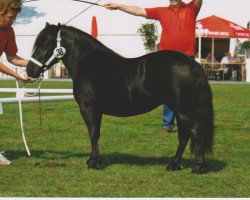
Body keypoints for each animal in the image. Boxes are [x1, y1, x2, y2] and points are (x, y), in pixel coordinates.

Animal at [27, 23, 215, 173]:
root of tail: (193, 64)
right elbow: (96, 134)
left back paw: (195, 166)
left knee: (193, 132)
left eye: (46, 43)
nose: (30, 70)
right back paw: (177, 164)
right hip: (179, 108)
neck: (89, 63)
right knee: (186, 135)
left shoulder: (88, 108)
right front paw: (95, 160)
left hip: (183, 109)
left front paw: (93, 162)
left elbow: (93, 134)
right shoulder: (97, 111)